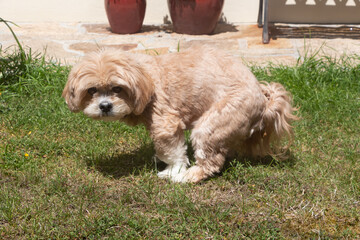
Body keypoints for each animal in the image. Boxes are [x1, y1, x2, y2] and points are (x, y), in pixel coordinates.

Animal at [62, 46, 298, 183]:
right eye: (92, 90)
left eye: (117, 88)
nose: (104, 106)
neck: (144, 78)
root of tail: (264, 102)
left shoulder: (165, 121)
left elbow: (172, 150)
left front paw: (172, 170)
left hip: (213, 124)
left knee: (210, 160)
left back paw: (189, 176)